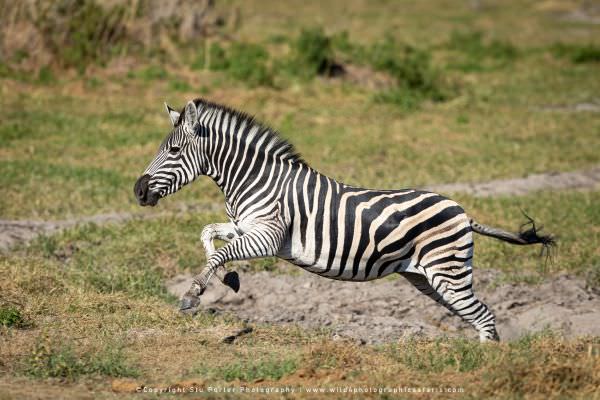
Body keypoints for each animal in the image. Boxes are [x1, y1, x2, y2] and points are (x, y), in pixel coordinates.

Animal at [135, 98, 552, 342]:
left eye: (174, 150)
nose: (138, 191)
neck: (255, 179)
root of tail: (463, 212)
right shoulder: (246, 227)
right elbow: (209, 235)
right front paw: (228, 279)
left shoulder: (269, 235)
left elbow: (222, 251)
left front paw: (194, 293)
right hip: (428, 278)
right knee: (473, 316)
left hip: (447, 272)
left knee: (484, 316)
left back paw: (484, 369)